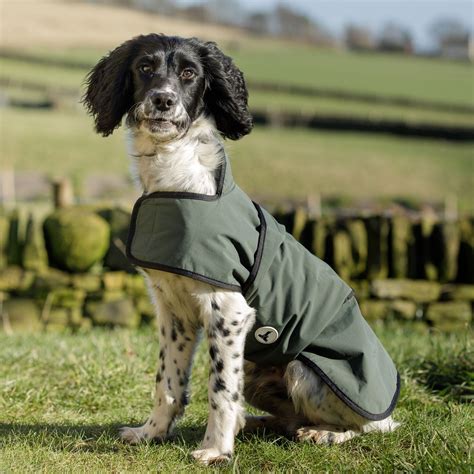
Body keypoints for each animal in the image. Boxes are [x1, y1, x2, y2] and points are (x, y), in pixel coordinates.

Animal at [82, 35, 400, 464]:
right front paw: (152, 433)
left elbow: (219, 390)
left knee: (364, 426)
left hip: (302, 370)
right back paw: (254, 423)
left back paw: (322, 433)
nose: (163, 100)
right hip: (255, 367)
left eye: (189, 73)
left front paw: (216, 449)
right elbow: (167, 382)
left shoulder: (228, 310)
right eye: (145, 68)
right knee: (285, 417)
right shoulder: (173, 310)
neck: (176, 181)